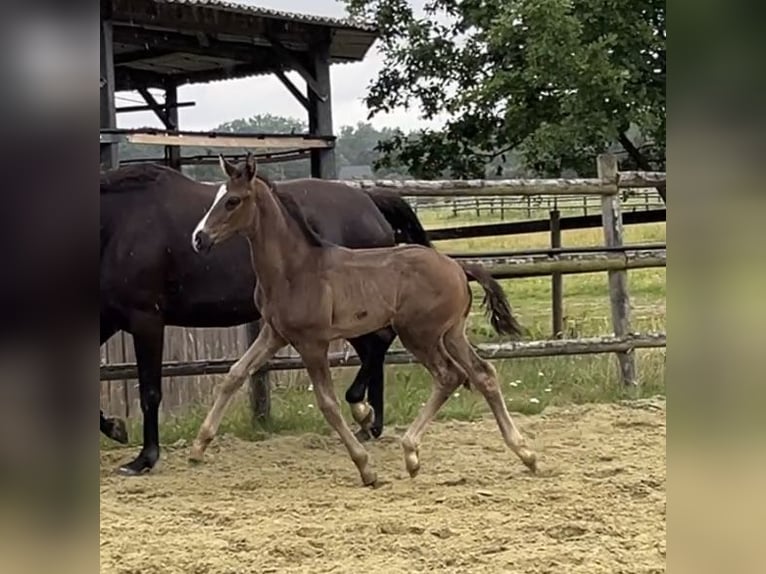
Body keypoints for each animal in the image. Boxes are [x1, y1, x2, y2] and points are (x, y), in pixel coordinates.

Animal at [100, 162, 431, 475]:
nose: (199, 239)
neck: (120, 224)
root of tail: (370, 202)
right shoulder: (109, 317)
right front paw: (116, 428)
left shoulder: (146, 320)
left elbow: (149, 392)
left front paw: (143, 459)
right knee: (374, 347)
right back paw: (369, 422)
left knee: (380, 342)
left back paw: (363, 412)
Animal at [188, 154, 537, 486]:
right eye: (217, 196)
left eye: (232, 200)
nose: (199, 239)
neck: (295, 269)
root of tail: (458, 267)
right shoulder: (274, 334)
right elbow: (234, 374)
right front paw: (198, 448)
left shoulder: (312, 343)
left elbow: (328, 404)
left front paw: (365, 467)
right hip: (451, 333)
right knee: (483, 374)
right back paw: (525, 453)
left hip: (419, 335)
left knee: (449, 376)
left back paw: (412, 453)